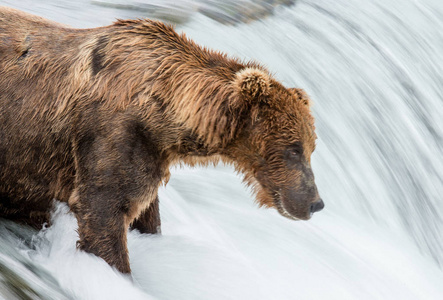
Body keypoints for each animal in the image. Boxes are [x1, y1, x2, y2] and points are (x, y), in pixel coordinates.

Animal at [0, 7, 324, 274]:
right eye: (293, 150)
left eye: (311, 148)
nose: (315, 203)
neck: (162, 116)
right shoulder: (110, 135)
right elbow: (103, 212)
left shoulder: (150, 156)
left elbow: (145, 216)